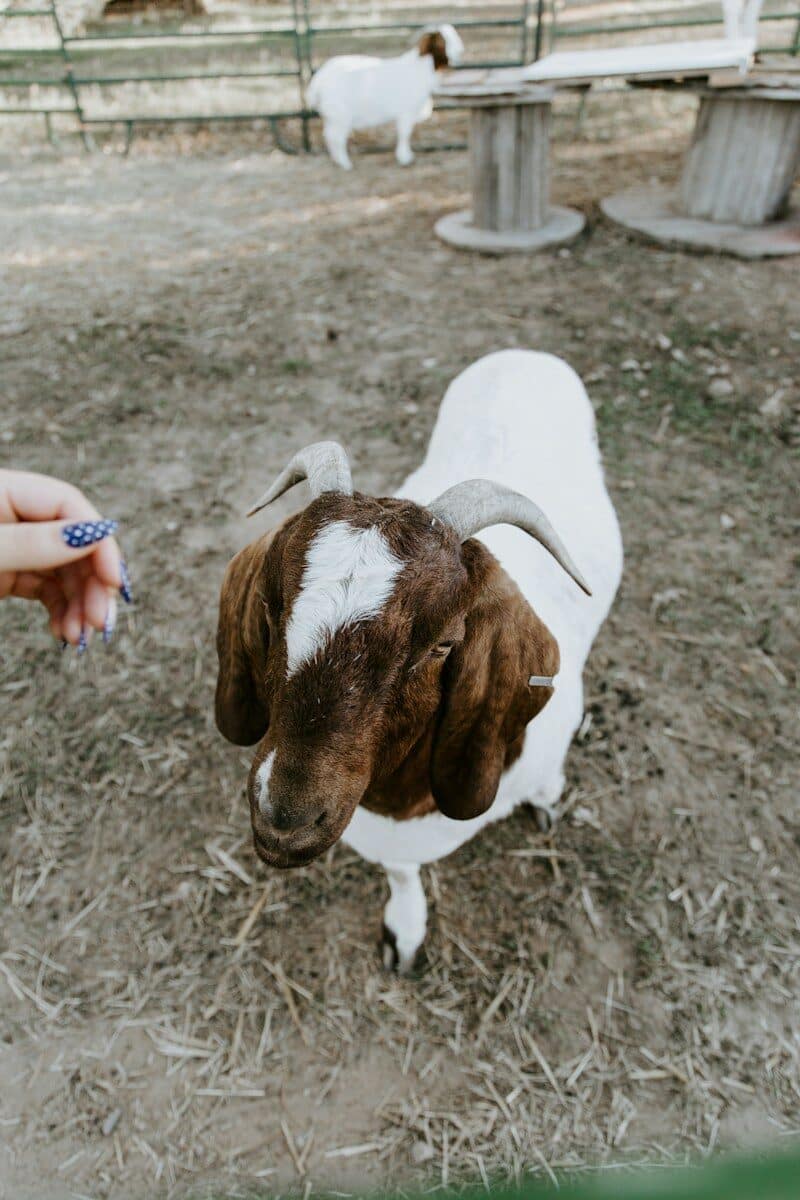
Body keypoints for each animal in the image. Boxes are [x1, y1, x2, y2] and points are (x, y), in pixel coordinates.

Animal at [215, 350, 623, 971]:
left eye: (443, 643)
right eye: (272, 602)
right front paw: (404, 932)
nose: (285, 821)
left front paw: (548, 795)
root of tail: (524, 354)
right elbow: (403, 874)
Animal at [306, 24, 464, 170]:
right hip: (340, 115)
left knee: (329, 135)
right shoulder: (406, 111)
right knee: (335, 137)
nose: (460, 51)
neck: (422, 68)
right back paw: (345, 164)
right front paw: (405, 158)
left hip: (333, 116)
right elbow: (405, 133)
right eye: (442, 41)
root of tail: (318, 81)